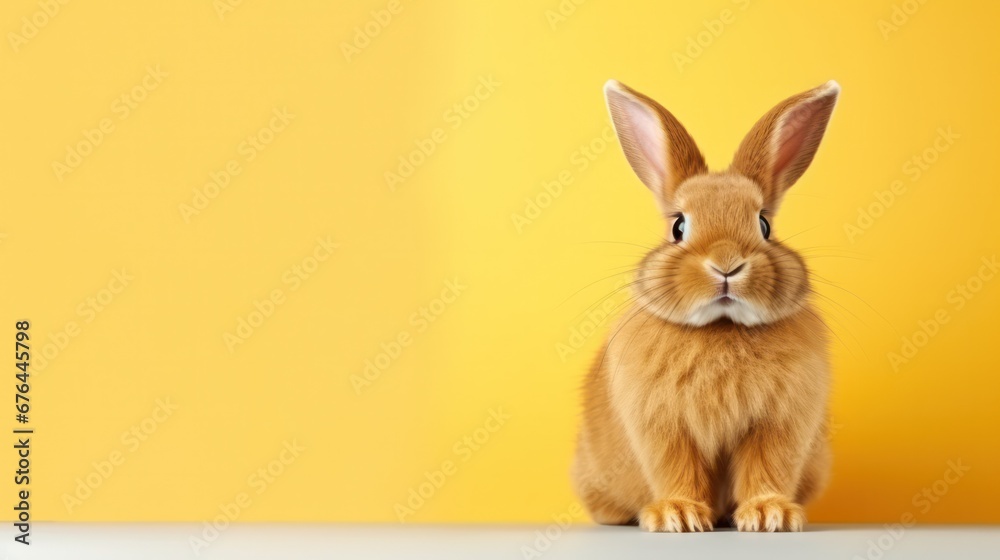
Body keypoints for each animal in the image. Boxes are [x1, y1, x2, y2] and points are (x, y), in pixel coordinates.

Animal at [571, 79, 840, 532]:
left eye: (764, 225)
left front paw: (770, 515)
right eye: (678, 226)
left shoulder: (779, 423)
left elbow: (767, 467)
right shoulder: (664, 426)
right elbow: (677, 468)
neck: (722, 326)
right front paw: (678, 516)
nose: (726, 264)